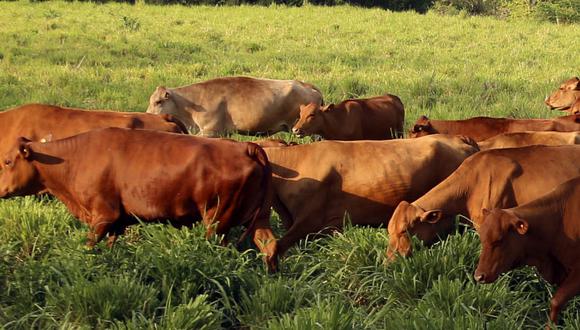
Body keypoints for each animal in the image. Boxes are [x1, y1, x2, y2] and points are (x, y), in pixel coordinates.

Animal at [0, 128, 278, 270]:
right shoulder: (117, 222)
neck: (74, 158)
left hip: (216, 221)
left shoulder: (103, 216)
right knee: (270, 245)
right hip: (256, 218)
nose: (0, 189)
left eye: (8, 161)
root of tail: (245, 147)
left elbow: (88, 246)